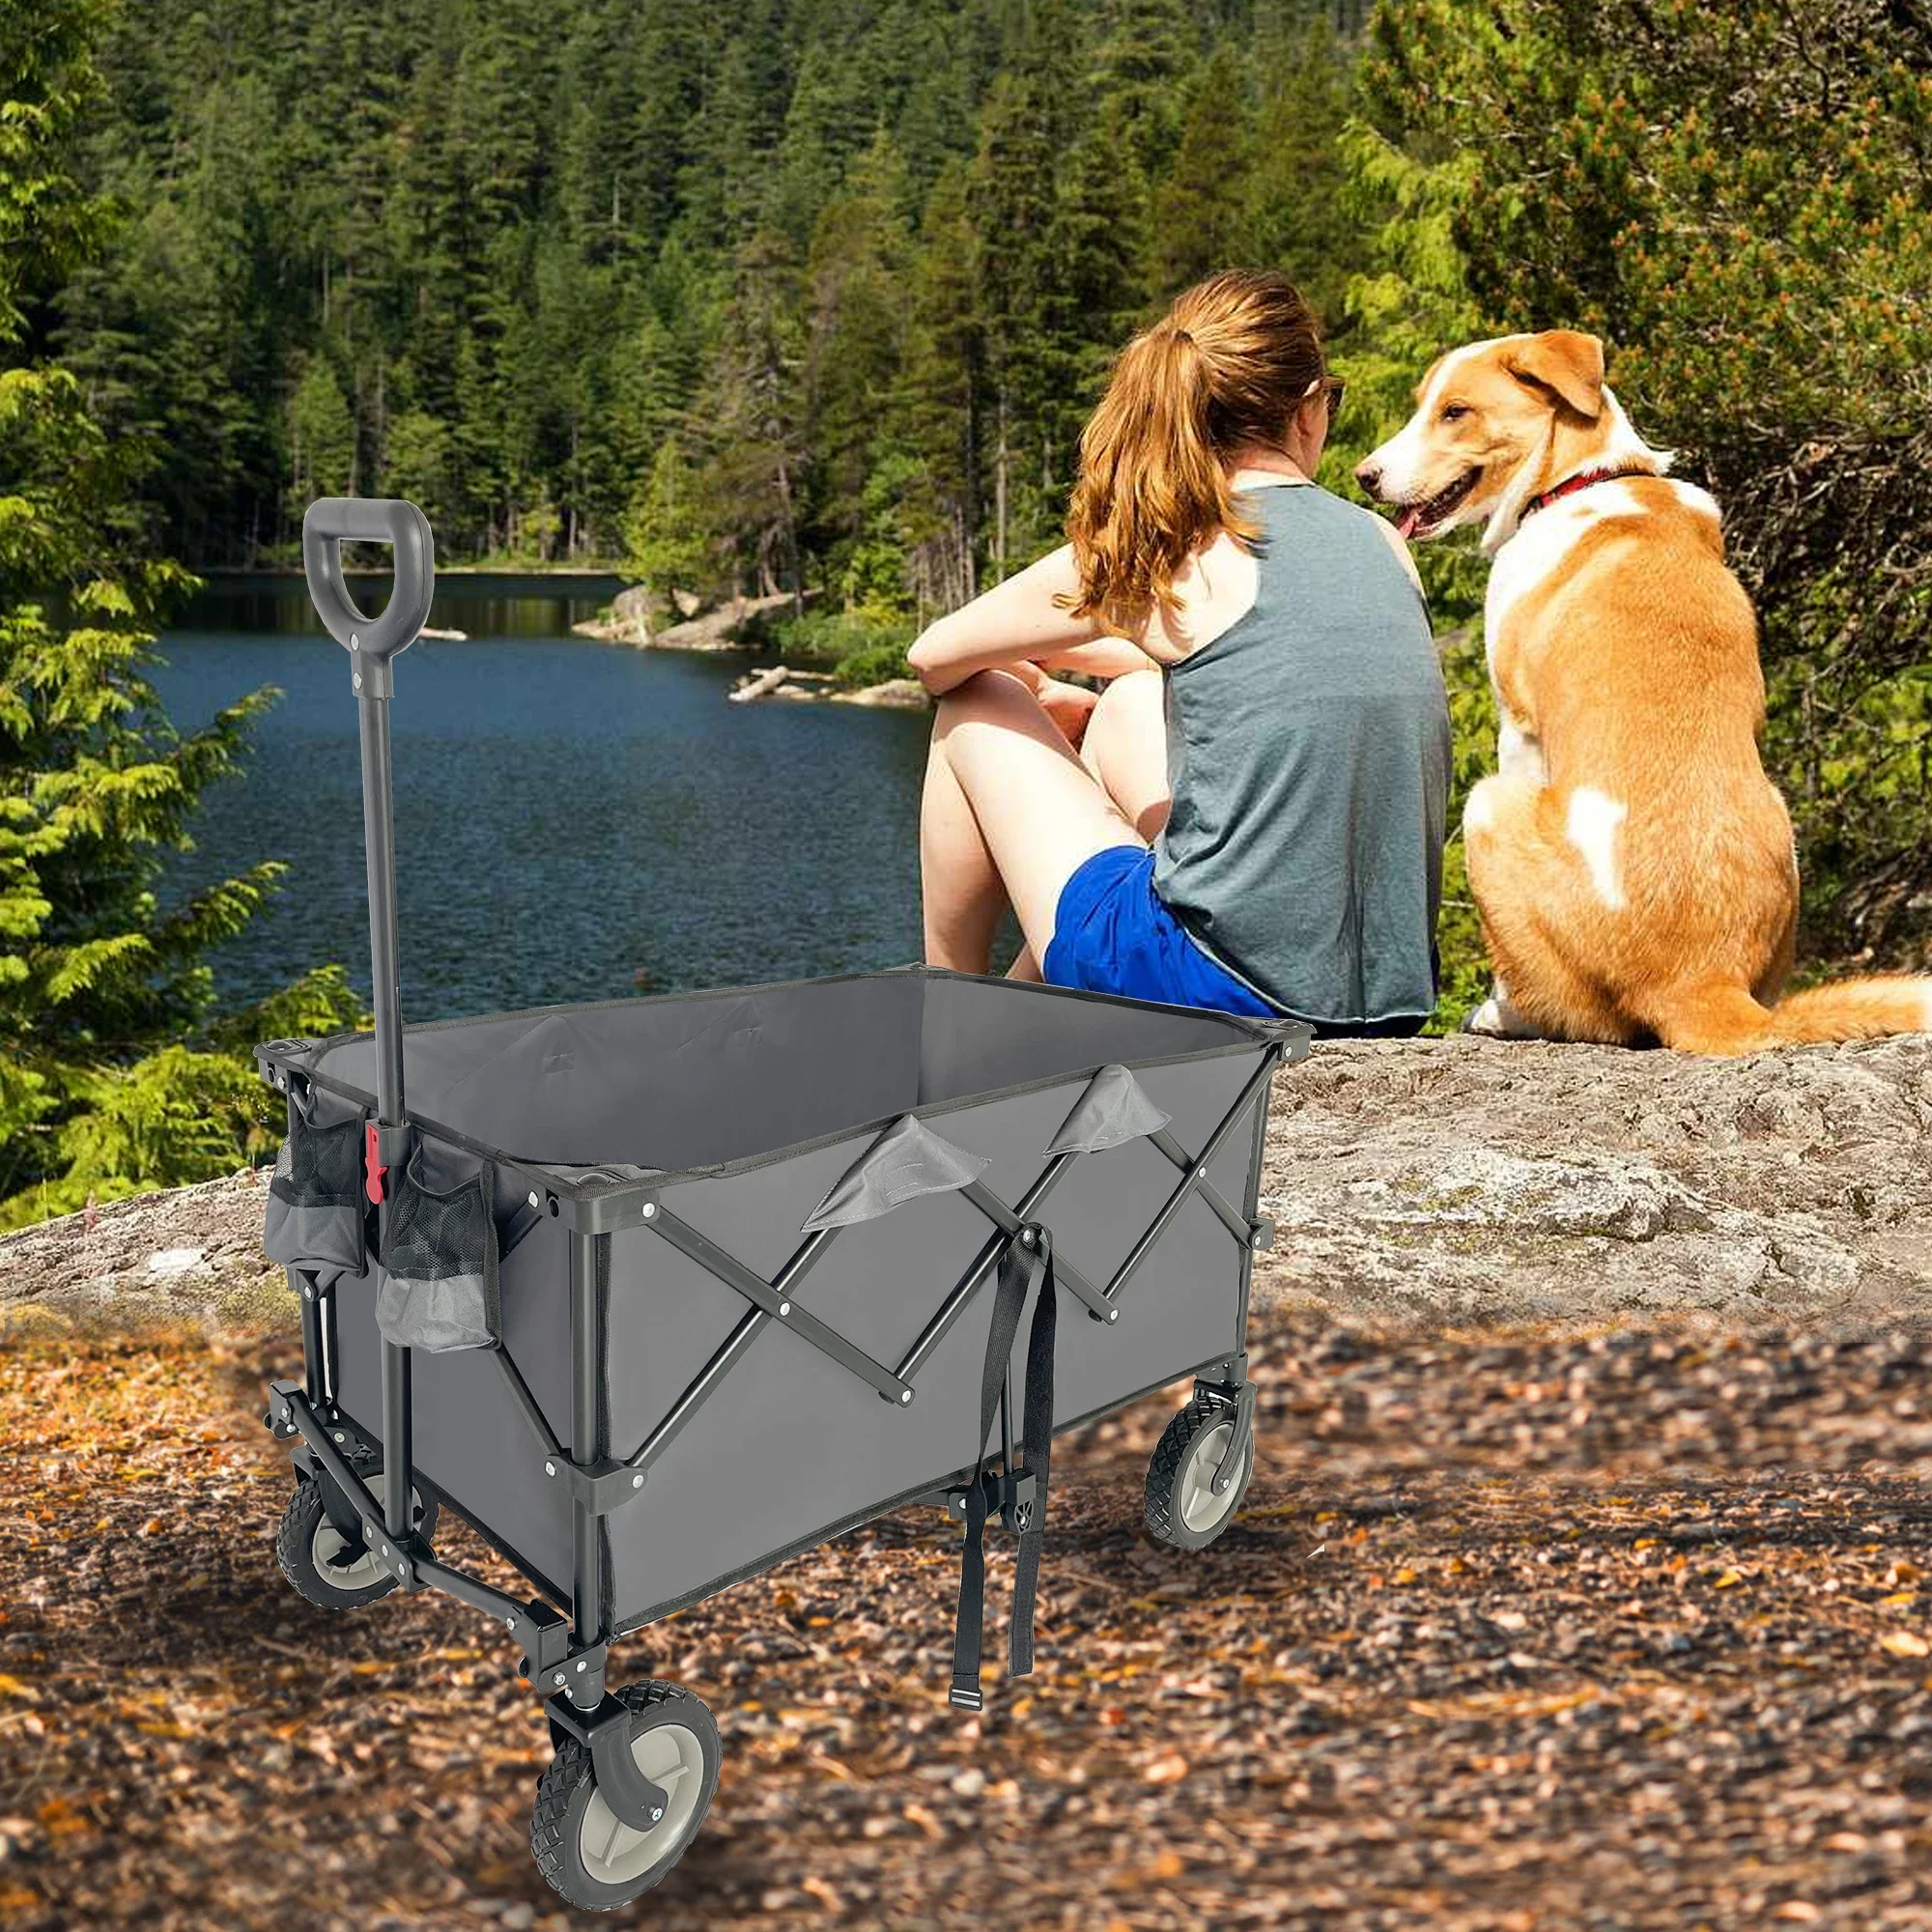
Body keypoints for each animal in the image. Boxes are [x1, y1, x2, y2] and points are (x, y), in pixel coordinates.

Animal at [1360, 332, 1932, 1059]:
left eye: (1455, 412)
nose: (1364, 476)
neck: (1583, 478)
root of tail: (1701, 983)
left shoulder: (1517, 726)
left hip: (1487, 804)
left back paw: (1501, 1014)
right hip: (1782, 825)